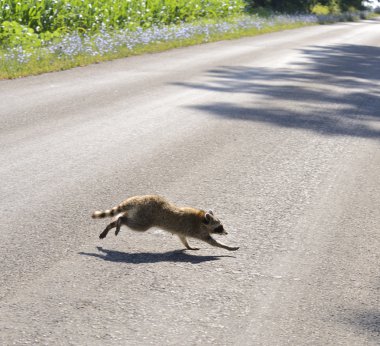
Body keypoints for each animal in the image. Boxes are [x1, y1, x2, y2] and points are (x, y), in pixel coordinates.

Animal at [91, 195, 239, 251]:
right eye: (219, 227)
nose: (226, 232)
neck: (202, 218)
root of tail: (139, 199)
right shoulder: (198, 230)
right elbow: (212, 242)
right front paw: (228, 247)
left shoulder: (182, 231)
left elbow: (183, 238)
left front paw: (188, 246)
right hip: (145, 218)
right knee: (131, 223)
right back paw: (119, 222)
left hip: (139, 213)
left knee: (123, 216)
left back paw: (112, 224)